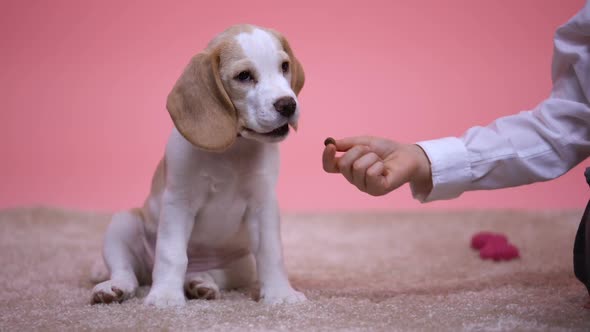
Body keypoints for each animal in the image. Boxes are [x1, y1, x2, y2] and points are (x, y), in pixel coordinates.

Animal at [91, 24, 310, 308]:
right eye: (244, 76)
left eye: (284, 66)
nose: (288, 104)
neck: (233, 149)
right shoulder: (179, 204)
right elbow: (171, 254)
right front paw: (165, 296)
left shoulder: (263, 205)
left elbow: (272, 253)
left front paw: (280, 293)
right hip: (123, 224)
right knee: (128, 272)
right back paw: (115, 288)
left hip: (240, 266)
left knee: (205, 272)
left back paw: (200, 283)